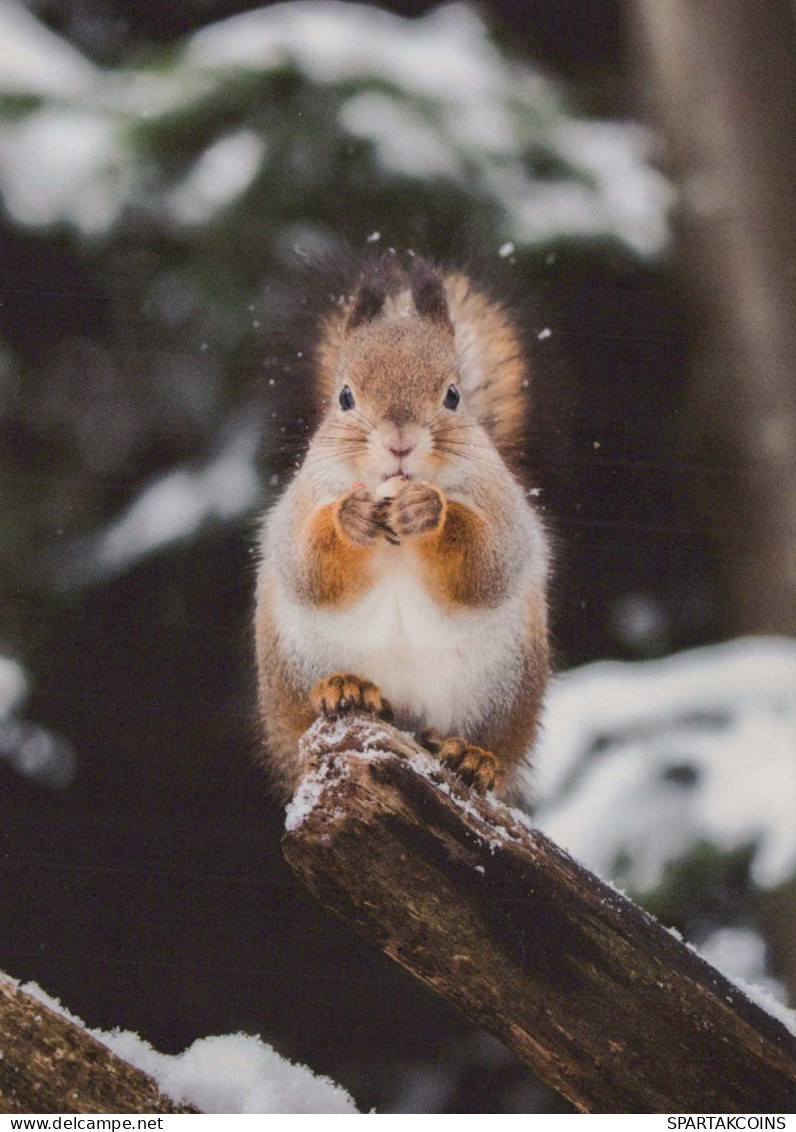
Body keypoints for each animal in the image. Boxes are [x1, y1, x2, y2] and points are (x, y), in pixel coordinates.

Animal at [253, 254, 548, 805]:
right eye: (345, 397)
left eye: (453, 395)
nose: (399, 441)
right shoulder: (300, 505)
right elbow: (309, 565)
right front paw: (351, 517)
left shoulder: (501, 509)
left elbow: (484, 565)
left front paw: (430, 511)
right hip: (292, 676)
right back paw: (345, 687)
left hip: (509, 689)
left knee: (496, 746)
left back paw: (474, 755)